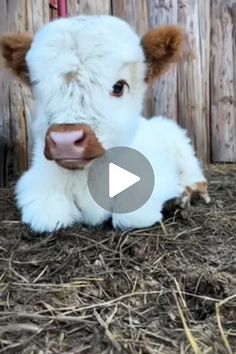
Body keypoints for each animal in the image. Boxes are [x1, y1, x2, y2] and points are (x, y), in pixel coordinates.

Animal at [0, 15, 210, 232]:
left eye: (119, 87)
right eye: (37, 86)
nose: (65, 140)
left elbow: (131, 216)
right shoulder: (36, 184)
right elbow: (49, 216)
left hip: (183, 149)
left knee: (196, 177)